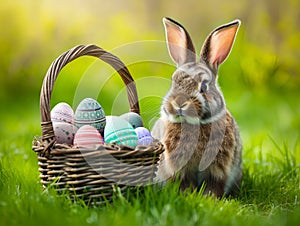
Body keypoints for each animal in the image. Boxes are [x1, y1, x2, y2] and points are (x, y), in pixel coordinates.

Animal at [154, 18, 243, 198]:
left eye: (203, 86)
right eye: (174, 82)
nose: (179, 103)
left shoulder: (217, 169)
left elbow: (214, 186)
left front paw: (210, 199)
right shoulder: (179, 169)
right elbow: (183, 183)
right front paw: (188, 195)